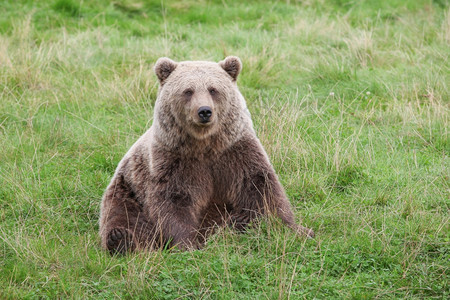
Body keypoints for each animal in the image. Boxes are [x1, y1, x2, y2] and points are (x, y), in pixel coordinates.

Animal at [100, 56, 314, 253]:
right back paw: (121, 239)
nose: (204, 111)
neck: (205, 145)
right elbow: (173, 201)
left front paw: (296, 229)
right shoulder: (173, 161)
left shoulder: (236, 152)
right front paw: (186, 243)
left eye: (213, 89)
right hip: (126, 188)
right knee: (123, 215)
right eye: (188, 91)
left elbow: (261, 187)